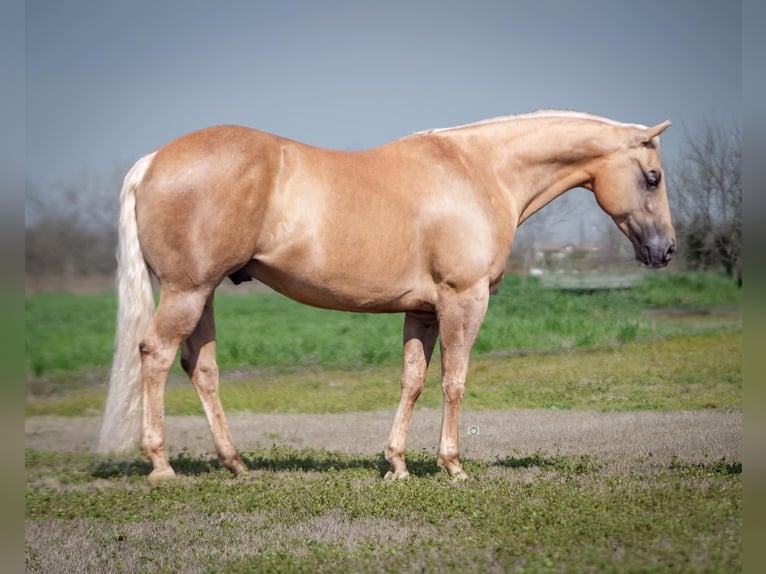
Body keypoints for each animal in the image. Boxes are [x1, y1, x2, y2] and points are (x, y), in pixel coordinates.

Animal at [97, 110, 680, 484]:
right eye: (652, 177)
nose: (666, 250)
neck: (478, 171)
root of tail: (153, 161)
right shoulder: (463, 301)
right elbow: (453, 381)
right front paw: (452, 466)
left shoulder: (421, 311)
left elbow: (413, 381)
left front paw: (397, 465)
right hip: (187, 292)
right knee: (155, 354)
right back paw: (162, 466)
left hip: (203, 294)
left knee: (201, 368)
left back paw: (236, 463)